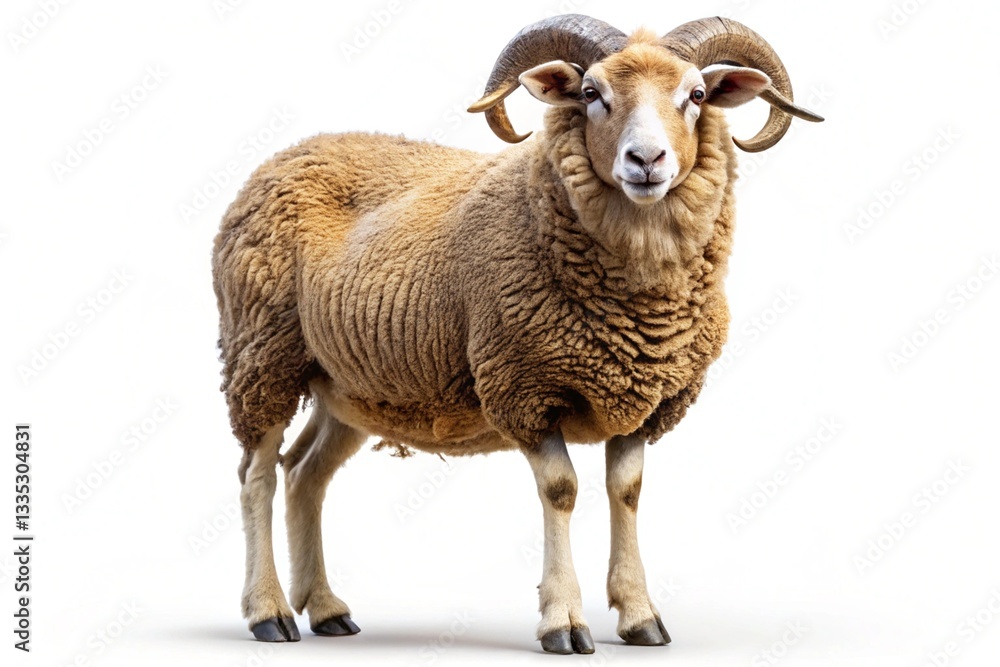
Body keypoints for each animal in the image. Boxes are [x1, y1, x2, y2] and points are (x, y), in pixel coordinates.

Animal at [212, 14, 822, 653]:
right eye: (591, 93)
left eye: (697, 96)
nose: (646, 159)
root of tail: (286, 155)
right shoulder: (524, 389)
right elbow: (561, 490)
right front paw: (564, 621)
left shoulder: (646, 400)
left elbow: (626, 491)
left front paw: (640, 616)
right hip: (261, 356)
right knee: (256, 476)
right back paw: (269, 613)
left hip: (348, 386)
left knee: (304, 474)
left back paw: (327, 608)